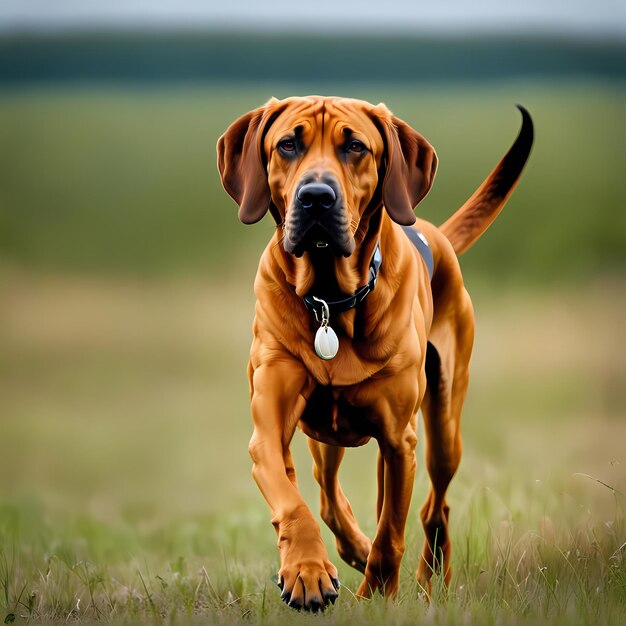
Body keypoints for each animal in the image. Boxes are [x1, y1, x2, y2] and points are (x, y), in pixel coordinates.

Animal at [216, 95, 532, 608]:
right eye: (287, 144)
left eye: (356, 147)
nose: (316, 197)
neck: (330, 299)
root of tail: (433, 231)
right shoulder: (267, 432)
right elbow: (293, 500)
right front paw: (307, 571)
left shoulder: (399, 439)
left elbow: (391, 532)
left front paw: (378, 595)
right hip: (325, 437)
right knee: (328, 494)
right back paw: (352, 551)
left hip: (442, 427)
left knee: (434, 504)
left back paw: (430, 578)